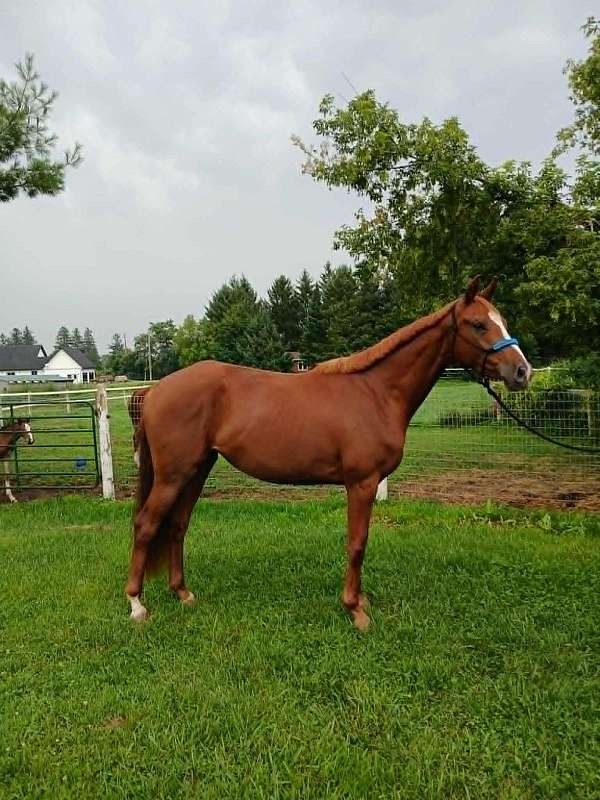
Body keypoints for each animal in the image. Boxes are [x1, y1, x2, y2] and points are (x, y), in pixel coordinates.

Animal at [126, 276, 532, 629]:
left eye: (503, 320)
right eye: (478, 324)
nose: (522, 371)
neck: (376, 392)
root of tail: (155, 390)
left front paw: (360, 600)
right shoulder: (362, 483)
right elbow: (357, 544)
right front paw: (355, 610)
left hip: (197, 469)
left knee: (177, 525)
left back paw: (182, 593)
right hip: (174, 474)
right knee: (146, 525)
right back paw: (136, 605)